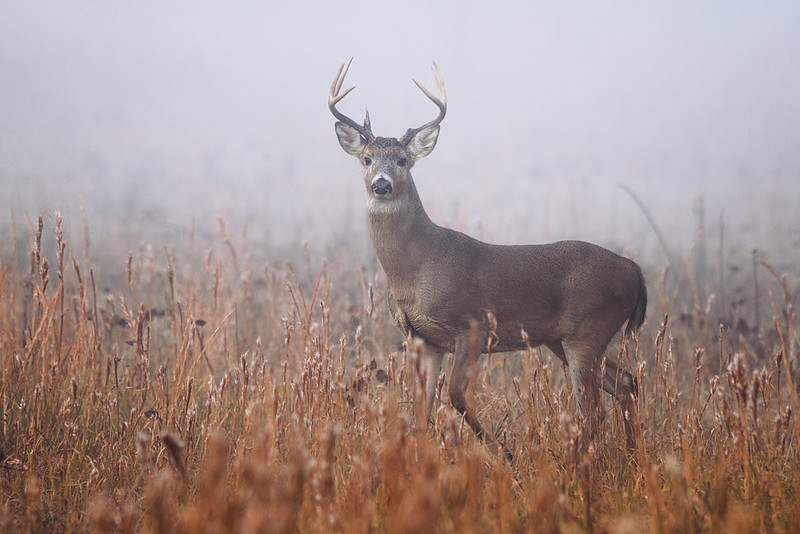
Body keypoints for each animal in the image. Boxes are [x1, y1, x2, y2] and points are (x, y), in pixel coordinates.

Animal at [328, 59, 648, 460]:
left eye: (403, 160)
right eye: (367, 159)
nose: (381, 184)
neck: (415, 271)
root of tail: (634, 270)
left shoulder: (471, 324)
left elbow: (456, 395)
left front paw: (504, 454)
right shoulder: (424, 338)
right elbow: (420, 411)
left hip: (587, 331)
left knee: (592, 409)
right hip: (564, 339)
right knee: (627, 384)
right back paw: (635, 457)